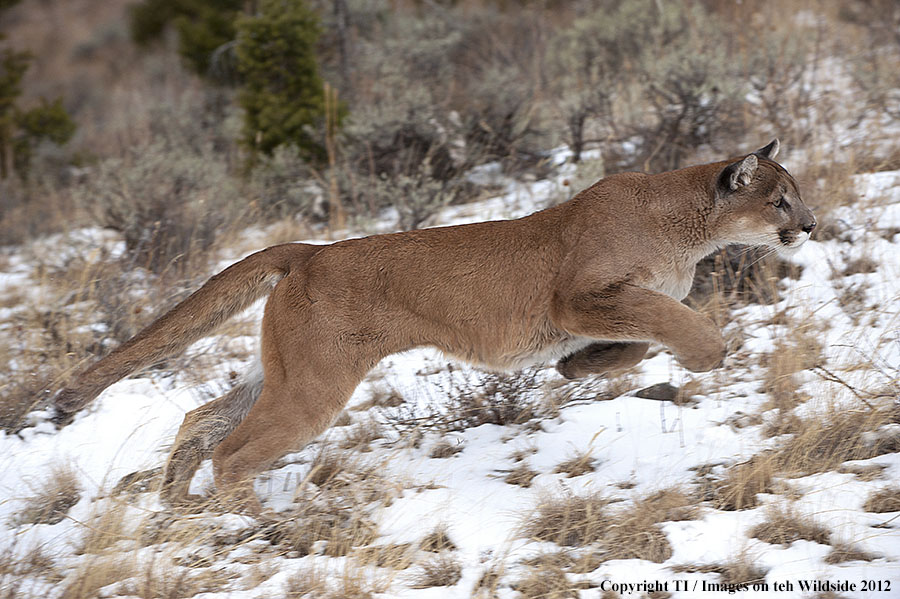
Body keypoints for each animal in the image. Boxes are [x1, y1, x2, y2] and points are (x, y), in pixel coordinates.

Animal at [54, 139, 816, 510]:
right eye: (780, 199)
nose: (810, 225)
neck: (689, 231)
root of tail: (309, 250)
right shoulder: (576, 295)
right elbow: (671, 319)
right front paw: (709, 353)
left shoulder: (599, 309)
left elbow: (635, 339)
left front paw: (579, 366)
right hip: (315, 384)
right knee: (233, 452)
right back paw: (255, 522)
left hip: (282, 370)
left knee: (201, 418)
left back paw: (174, 508)